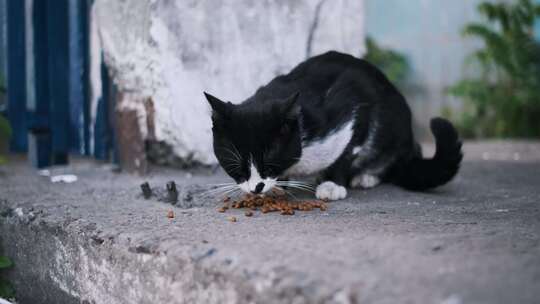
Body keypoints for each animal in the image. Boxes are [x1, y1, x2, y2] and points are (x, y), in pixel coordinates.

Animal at [205, 51, 462, 201]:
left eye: (270, 162)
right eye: (236, 165)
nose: (256, 187)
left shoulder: (355, 100)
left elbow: (346, 152)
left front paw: (332, 184)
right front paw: (281, 186)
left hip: (395, 129)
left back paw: (366, 177)